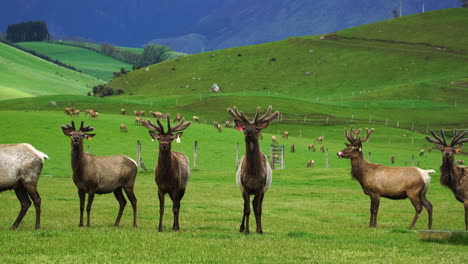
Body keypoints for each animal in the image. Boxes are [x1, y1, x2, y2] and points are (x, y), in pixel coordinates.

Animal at [229, 104, 280, 234]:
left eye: (257, 128)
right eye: (244, 126)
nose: (248, 131)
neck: (253, 174)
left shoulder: (261, 187)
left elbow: (258, 209)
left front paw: (260, 230)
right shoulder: (245, 187)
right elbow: (247, 210)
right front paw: (247, 230)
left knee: (254, 204)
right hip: (242, 189)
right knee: (245, 206)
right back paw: (241, 228)